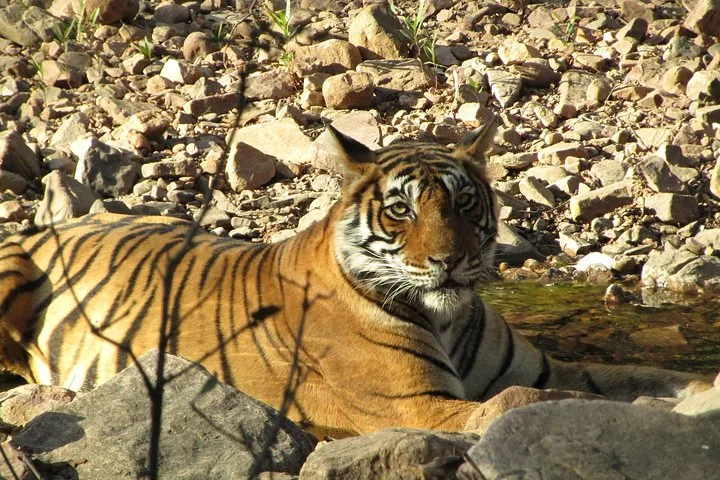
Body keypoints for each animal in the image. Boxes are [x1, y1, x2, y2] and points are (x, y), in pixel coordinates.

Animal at [0, 120, 712, 438]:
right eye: (401, 210)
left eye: (464, 204)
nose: (448, 260)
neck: (446, 313)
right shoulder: (418, 406)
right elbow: (535, 406)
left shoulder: (544, 369)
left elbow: (631, 377)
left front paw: (696, 390)